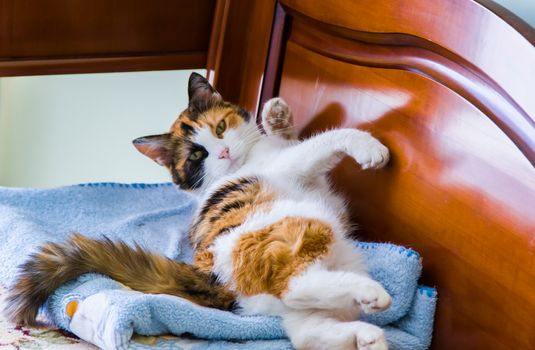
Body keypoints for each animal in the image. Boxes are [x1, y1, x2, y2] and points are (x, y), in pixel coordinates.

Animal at [6, 72, 394, 348]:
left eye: (220, 127)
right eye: (196, 155)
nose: (223, 153)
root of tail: (211, 274)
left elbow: (288, 137)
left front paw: (276, 114)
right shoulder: (289, 165)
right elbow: (322, 142)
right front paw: (368, 147)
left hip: (302, 297)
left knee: (307, 332)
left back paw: (367, 337)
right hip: (293, 230)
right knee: (298, 286)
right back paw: (372, 296)